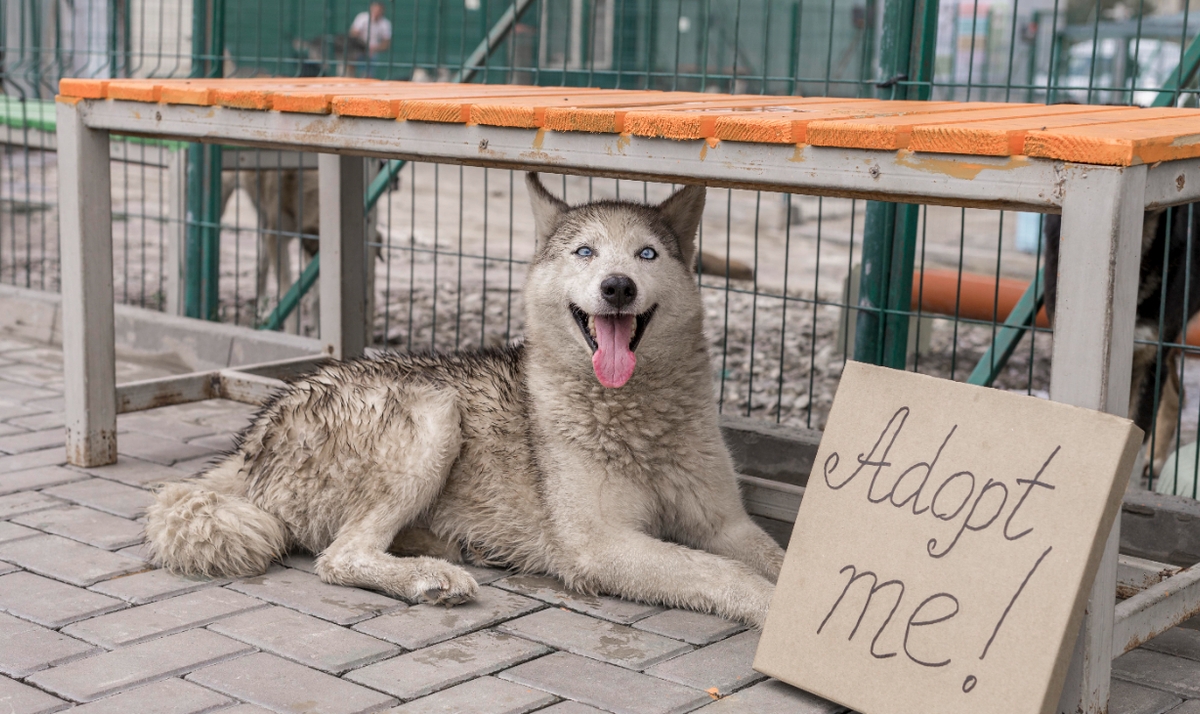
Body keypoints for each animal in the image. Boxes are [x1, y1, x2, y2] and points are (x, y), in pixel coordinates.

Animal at [147, 172, 787, 624]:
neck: (638, 415)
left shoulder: (726, 522)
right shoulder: (601, 544)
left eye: (646, 254)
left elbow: (774, 558)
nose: (617, 287)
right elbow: (725, 574)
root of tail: (256, 431)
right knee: (338, 557)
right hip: (436, 415)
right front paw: (773, 613)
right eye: (585, 252)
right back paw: (428, 576)